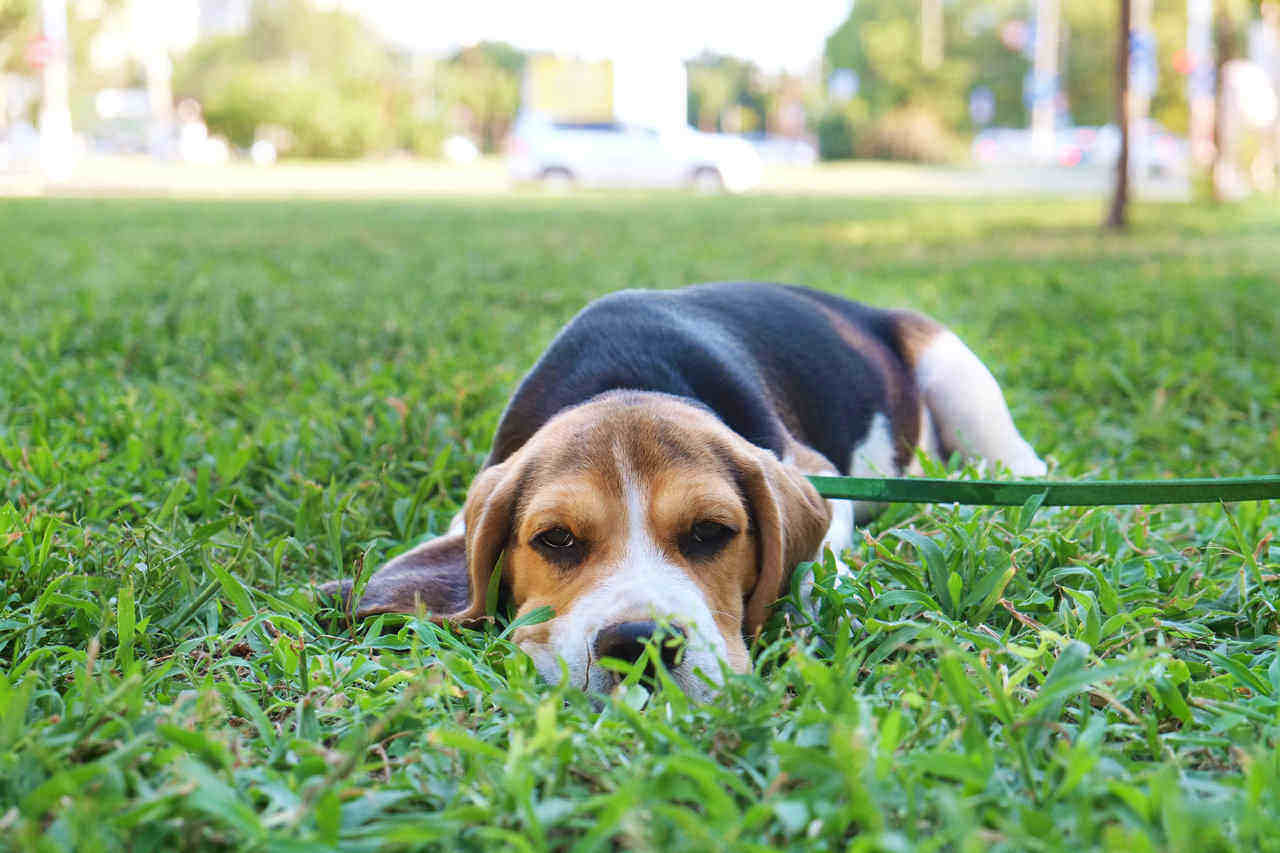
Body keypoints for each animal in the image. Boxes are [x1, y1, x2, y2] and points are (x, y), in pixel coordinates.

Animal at [317, 281, 1039, 696]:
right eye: (555, 539)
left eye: (710, 532)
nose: (640, 646)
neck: (624, 379)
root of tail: (862, 309)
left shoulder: (814, 470)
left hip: (956, 371)